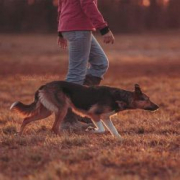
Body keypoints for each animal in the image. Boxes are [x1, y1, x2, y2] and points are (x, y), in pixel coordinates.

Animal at [9, 81, 159, 139]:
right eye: (146, 99)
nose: (157, 107)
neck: (119, 97)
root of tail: (44, 85)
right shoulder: (94, 115)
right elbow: (101, 129)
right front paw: (91, 130)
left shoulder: (106, 118)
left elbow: (114, 132)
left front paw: (120, 140)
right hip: (62, 109)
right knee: (54, 127)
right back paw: (64, 138)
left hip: (46, 111)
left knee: (26, 119)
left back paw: (19, 134)